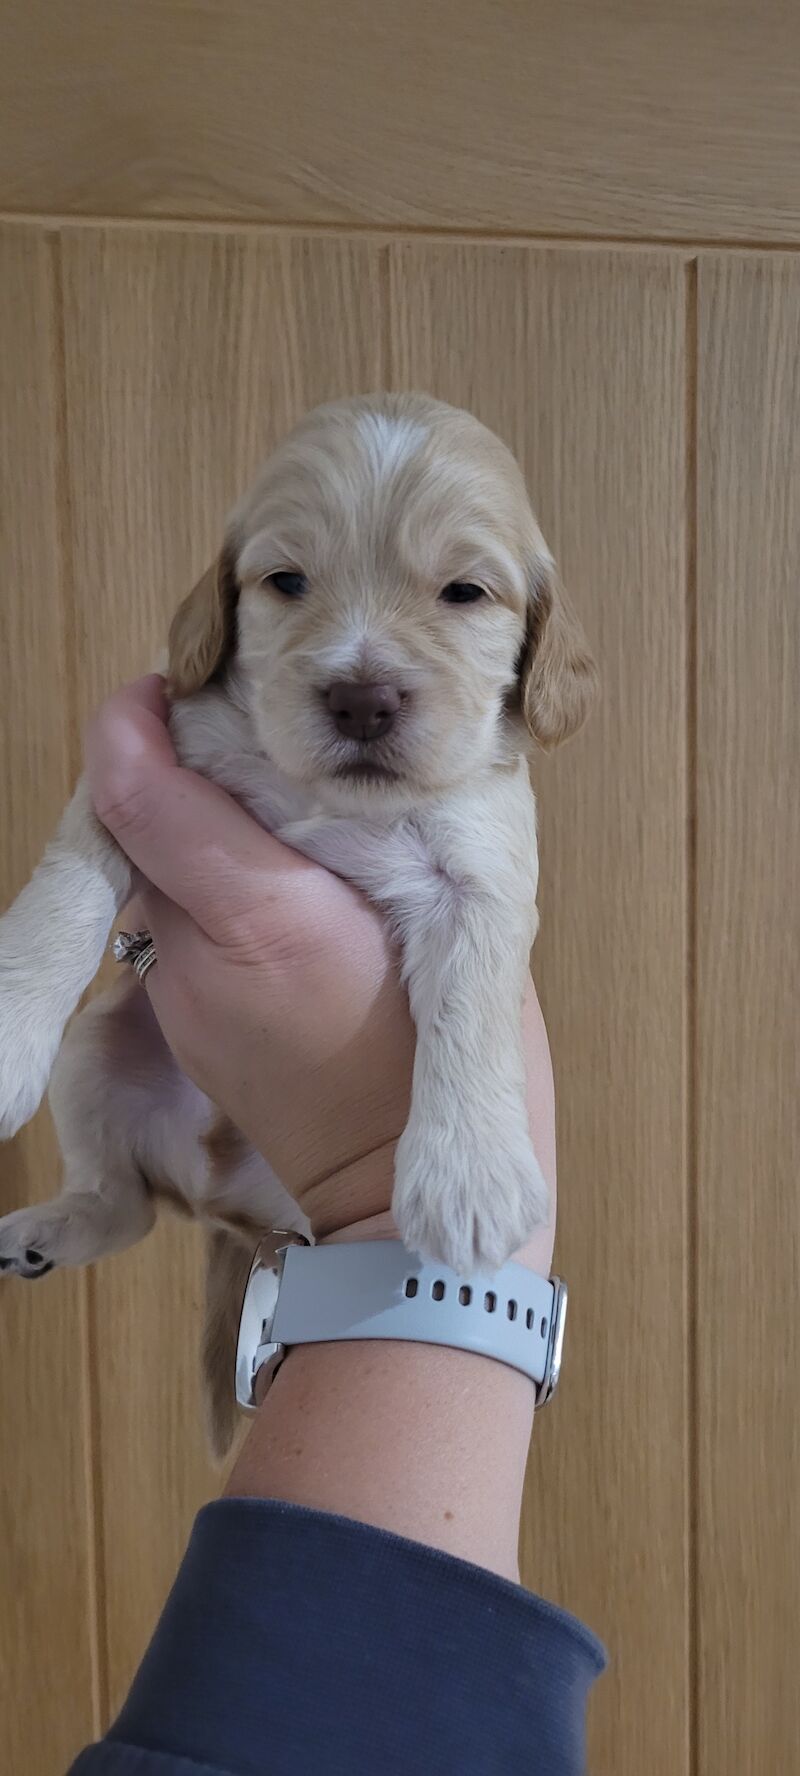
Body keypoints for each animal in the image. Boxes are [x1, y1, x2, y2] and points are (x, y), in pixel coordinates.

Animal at [0, 396, 593, 1449]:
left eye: (464, 592)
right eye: (285, 581)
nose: (362, 697)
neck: (332, 797)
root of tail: (228, 1209)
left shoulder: (485, 868)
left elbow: (472, 1009)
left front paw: (470, 1176)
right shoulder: (139, 776)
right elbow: (65, 895)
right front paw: (3, 1031)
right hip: (99, 1053)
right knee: (124, 1204)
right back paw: (44, 1230)